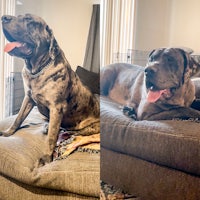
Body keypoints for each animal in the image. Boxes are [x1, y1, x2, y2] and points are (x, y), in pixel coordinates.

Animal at [0, 13, 99, 164]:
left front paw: (46, 157)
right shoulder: (28, 99)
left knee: (72, 132)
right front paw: (8, 133)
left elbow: (52, 137)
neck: (37, 69)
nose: (3, 17)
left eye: (29, 19)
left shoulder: (56, 107)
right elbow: (18, 118)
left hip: (90, 128)